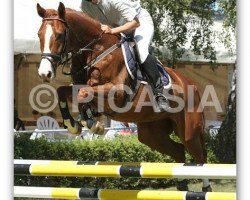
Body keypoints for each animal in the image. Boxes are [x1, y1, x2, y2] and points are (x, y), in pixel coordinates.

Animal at [35, 1, 211, 192]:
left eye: (59, 36)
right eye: (39, 35)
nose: (45, 73)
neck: (96, 50)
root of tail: (192, 84)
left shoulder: (117, 93)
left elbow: (84, 93)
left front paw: (92, 123)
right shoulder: (80, 86)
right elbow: (65, 91)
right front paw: (75, 124)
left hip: (188, 131)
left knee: (200, 157)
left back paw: (206, 189)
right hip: (152, 134)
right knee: (178, 151)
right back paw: (182, 186)